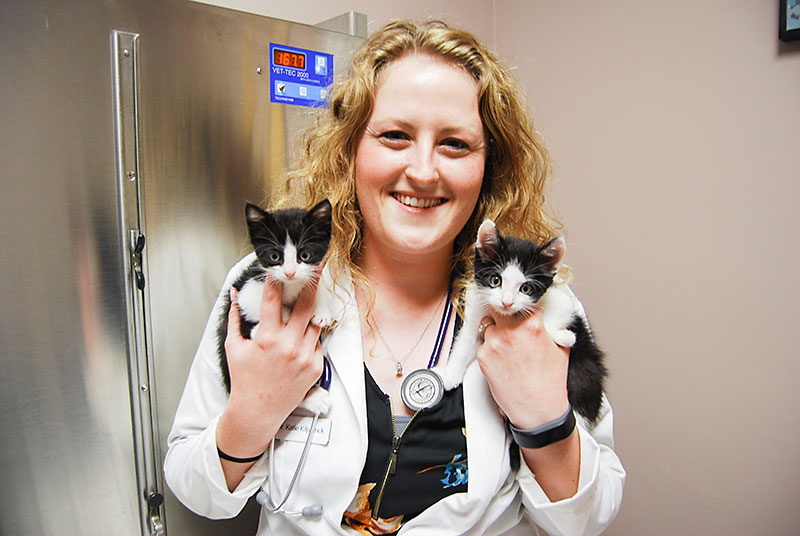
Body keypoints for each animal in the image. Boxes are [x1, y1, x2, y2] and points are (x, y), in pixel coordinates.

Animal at [216, 199, 334, 416]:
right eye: (274, 256)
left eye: (305, 255)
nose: (290, 273)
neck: (290, 285)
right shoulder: (246, 289)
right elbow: (252, 302)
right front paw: (287, 313)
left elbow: (313, 284)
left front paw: (322, 311)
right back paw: (314, 398)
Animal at [438, 220, 608, 426]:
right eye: (495, 280)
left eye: (525, 288)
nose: (507, 302)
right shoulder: (478, 305)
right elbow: (465, 342)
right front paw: (450, 373)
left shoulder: (562, 301)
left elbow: (554, 319)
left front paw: (564, 336)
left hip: (582, 376)